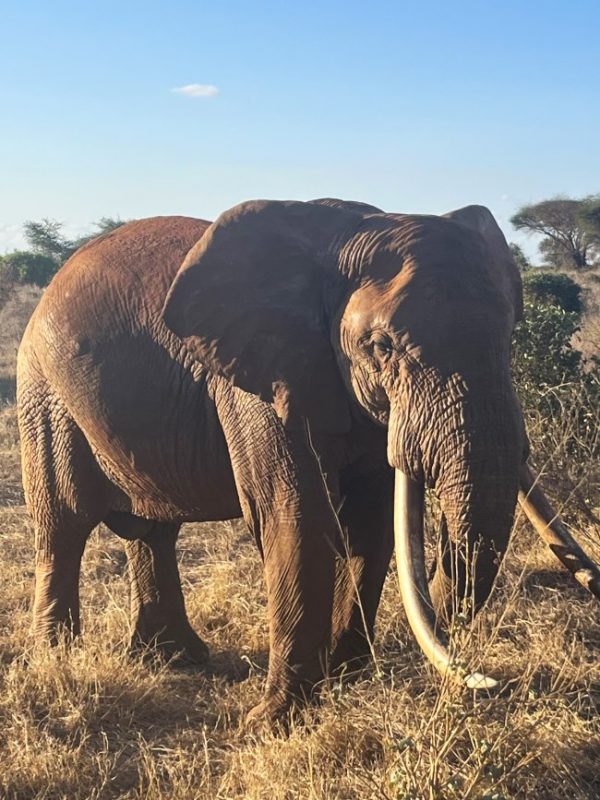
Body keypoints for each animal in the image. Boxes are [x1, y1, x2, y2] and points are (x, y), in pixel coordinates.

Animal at [17, 198, 600, 726]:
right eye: (381, 347)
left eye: (509, 336)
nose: (488, 681)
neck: (350, 232)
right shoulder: (261, 383)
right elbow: (295, 518)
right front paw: (274, 719)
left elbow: (369, 524)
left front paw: (342, 680)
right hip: (42, 390)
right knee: (63, 525)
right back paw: (58, 658)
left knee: (153, 530)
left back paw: (176, 658)